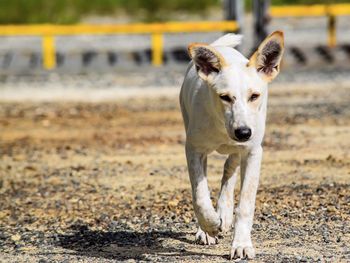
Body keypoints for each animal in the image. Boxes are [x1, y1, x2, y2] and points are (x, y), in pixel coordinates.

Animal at [180, 31, 284, 260]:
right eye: (225, 97)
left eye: (254, 96)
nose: (243, 132)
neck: (222, 126)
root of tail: (221, 47)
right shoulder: (193, 149)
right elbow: (200, 195)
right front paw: (210, 225)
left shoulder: (253, 152)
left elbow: (245, 203)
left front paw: (242, 244)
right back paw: (209, 227)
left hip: (241, 150)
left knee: (230, 169)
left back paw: (225, 213)